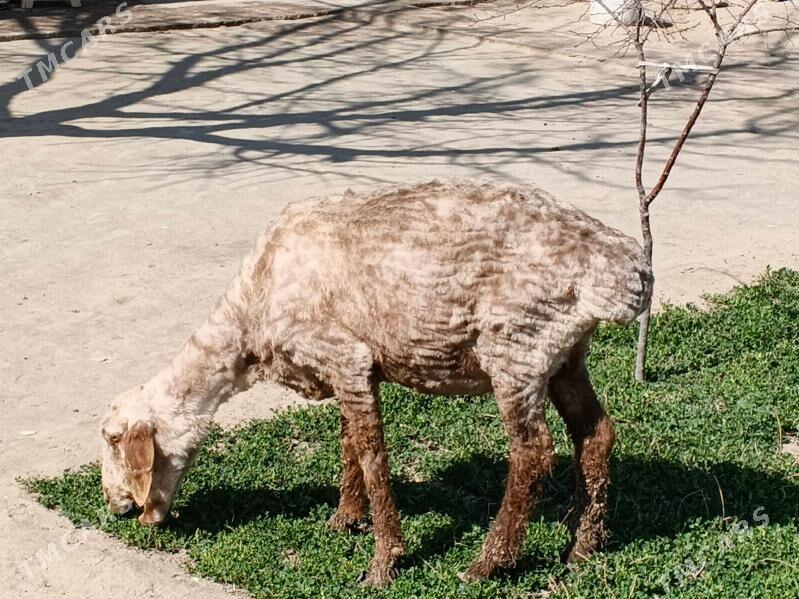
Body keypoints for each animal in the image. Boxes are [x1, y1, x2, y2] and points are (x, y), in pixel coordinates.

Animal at [100, 179, 652, 586]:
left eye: (111, 441)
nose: (118, 507)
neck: (250, 323)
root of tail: (625, 269)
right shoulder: (352, 368)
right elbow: (348, 440)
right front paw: (344, 519)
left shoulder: (343, 354)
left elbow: (371, 456)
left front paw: (384, 562)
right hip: (564, 354)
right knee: (596, 435)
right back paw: (583, 547)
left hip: (516, 347)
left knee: (533, 453)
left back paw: (488, 563)